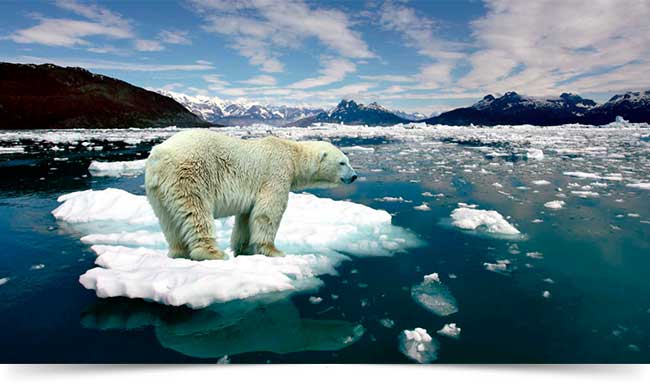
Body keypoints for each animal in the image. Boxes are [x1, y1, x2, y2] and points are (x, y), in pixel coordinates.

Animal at [144, 130, 356, 260]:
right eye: (342, 162)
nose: (354, 176)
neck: (292, 155)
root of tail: (158, 156)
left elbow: (246, 218)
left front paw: (243, 249)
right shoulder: (275, 173)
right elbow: (268, 212)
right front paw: (274, 251)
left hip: (158, 191)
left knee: (169, 220)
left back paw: (178, 252)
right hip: (190, 175)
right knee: (196, 212)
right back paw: (213, 253)